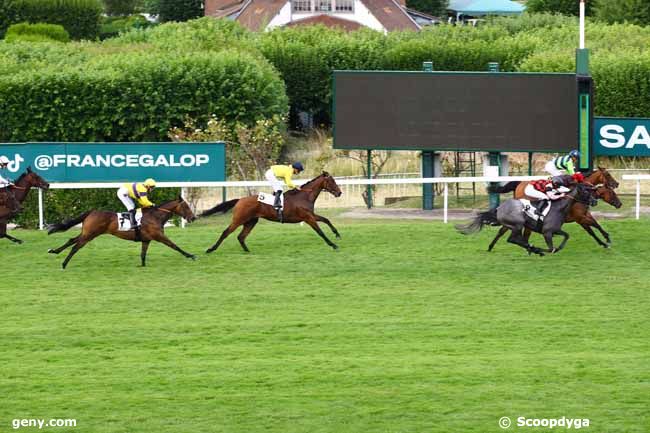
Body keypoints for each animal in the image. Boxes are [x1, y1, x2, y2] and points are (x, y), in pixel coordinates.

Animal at [47, 197, 196, 268]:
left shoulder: (146, 240)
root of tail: (92, 211)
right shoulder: (159, 236)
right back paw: (64, 264)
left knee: (71, 240)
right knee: (75, 247)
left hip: (86, 233)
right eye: (186, 206)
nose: (193, 217)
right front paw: (190, 255)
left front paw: (142, 266)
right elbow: (174, 246)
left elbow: (143, 254)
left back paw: (54, 251)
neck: (155, 216)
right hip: (89, 235)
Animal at [201, 172, 344, 251]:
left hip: (251, 221)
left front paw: (337, 234)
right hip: (239, 219)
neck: (304, 196)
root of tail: (240, 200)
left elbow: (326, 219)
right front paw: (333, 245)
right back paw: (211, 249)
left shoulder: (311, 215)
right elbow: (320, 232)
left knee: (241, 236)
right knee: (226, 232)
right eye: (332, 181)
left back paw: (248, 251)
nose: (339, 193)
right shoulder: (308, 218)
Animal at [454, 184, 596, 255]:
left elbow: (566, 236)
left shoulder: (555, 230)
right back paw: (534, 249)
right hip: (517, 224)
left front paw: (558, 248)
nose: (594, 201)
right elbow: (550, 248)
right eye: (586, 192)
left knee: (516, 239)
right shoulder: (547, 232)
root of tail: (499, 208)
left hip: (514, 226)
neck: (559, 208)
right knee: (512, 239)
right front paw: (543, 250)